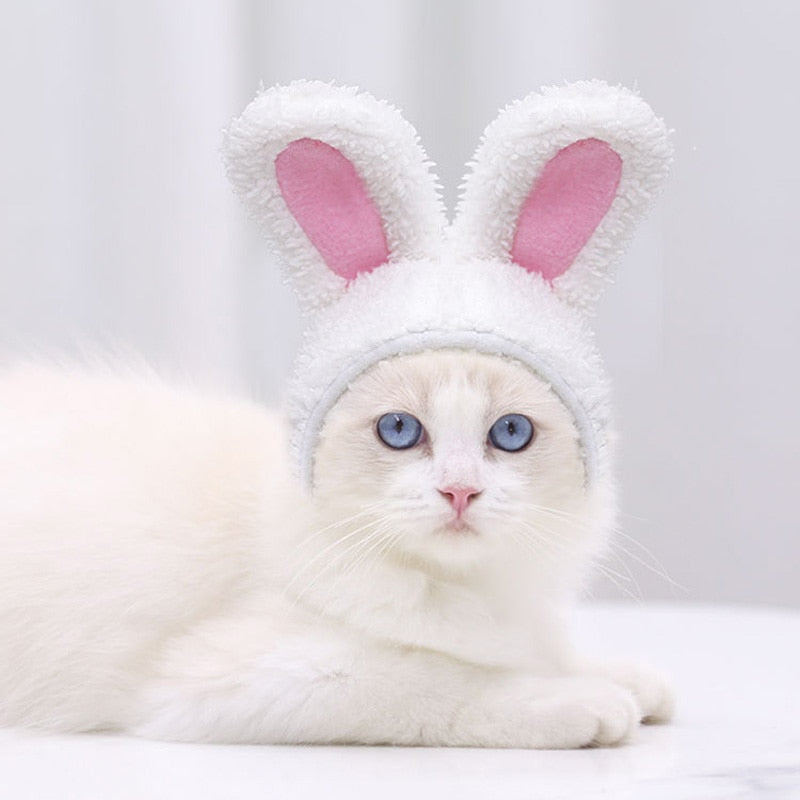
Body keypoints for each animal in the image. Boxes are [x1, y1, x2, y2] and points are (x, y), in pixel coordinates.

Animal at [0, 80, 674, 747]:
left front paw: (618, 677)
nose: (459, 491)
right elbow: (438, 680)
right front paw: (575, 699)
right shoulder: (247, 676)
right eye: (399, 430)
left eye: (510, 433)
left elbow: (545, 652)